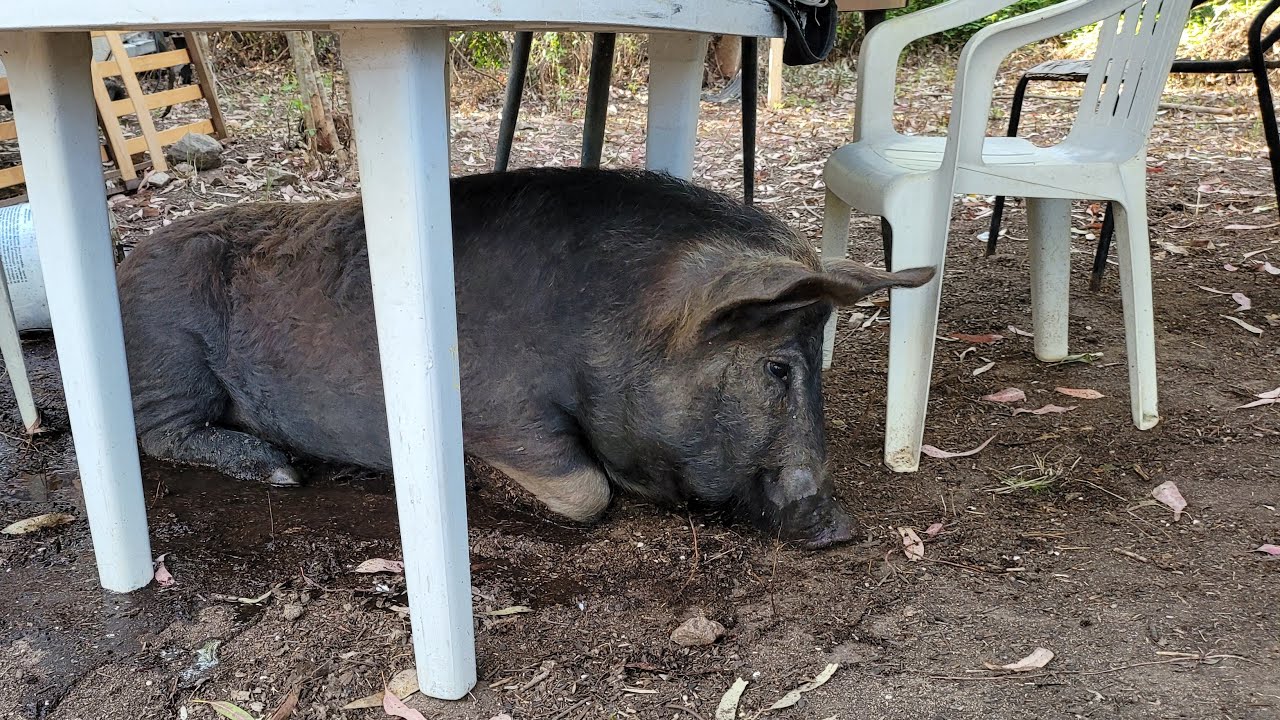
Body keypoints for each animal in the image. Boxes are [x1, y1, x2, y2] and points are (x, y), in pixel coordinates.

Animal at [116, 167, 934, 548]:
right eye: (777, 368)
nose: (843, 527)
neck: (609, 325)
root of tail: (127, 262)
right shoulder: (494, 408)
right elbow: (585, 494)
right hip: (171, 355)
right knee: (157, 433)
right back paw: (283, 471)